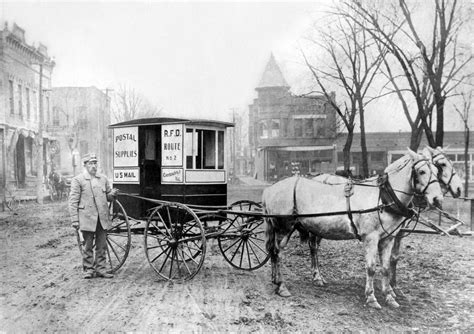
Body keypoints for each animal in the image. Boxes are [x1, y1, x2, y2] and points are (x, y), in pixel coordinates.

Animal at [262, 150, 444, 310]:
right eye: (421, 171)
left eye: (437, 171)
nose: (438, 199)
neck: (382, 197)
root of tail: (270, 190)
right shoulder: (371, 238)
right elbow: (371, 268)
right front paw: (371, 298)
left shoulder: (388, 238)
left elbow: (385, 268)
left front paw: (389, 297)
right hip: (284, 228)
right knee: (278, 253)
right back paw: (281, 285)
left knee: (287, 251)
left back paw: (287, 279)